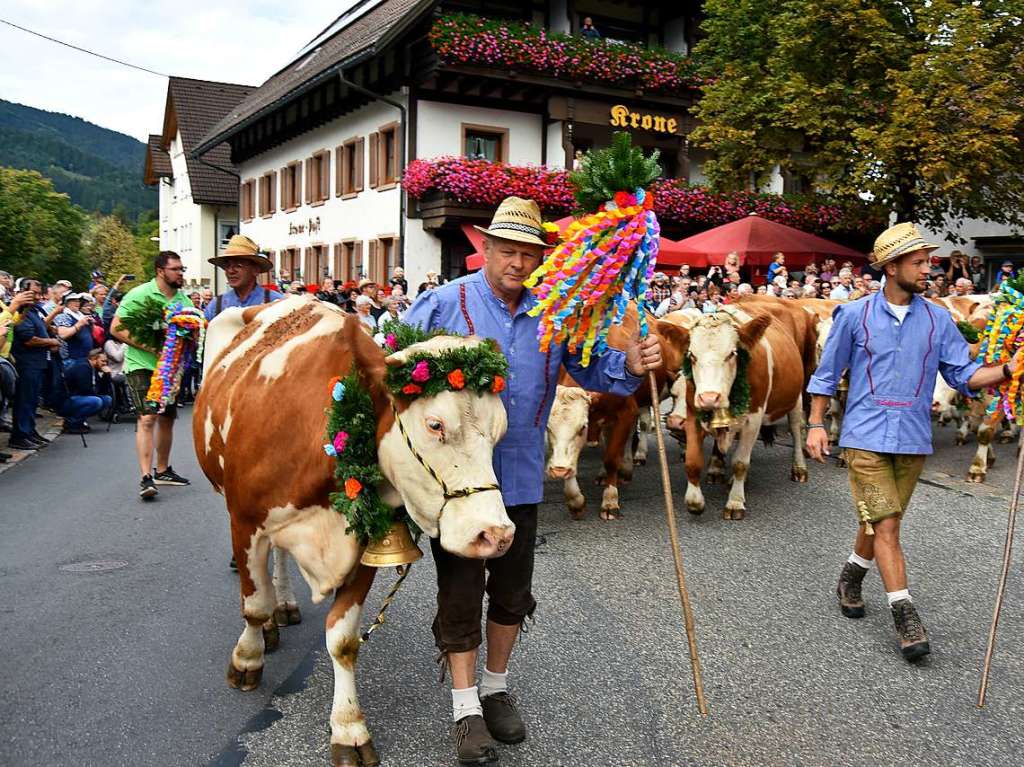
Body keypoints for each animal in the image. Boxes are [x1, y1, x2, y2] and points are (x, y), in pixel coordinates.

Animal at [193, 294, 512, 765]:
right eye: (435, 425)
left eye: (499, 432)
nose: (495, 534)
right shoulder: (245, 521)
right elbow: (252, 604)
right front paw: (247, 659)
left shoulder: (367, 540)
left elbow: (343, 640)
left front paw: (348, 729)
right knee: (265, 576)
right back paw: (269, 624)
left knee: (281, 558)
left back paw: (285, 604)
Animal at [659, 305, 811, 520]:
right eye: (692, 355)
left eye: (732, 354)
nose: (709, 397)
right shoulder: (693, 413)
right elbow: (692, 460)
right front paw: (694, 501)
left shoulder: (754, 418)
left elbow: (740, 462)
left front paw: (735, 502)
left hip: (795, 398)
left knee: (797, 429)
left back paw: (799, 467)